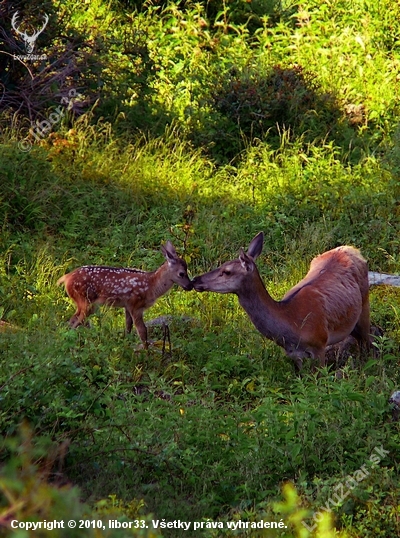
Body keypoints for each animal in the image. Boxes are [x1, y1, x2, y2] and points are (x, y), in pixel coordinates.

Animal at [57, 240, 192, 348]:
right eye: (181, 273)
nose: (190, 286)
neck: (152, 285)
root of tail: (66, 278)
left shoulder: (127, 306)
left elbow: (128, 327)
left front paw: (126, 344)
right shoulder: (136, 305)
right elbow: (142, 331)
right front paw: (146, 351)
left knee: (74, 321)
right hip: (85, 300)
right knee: (75, 322)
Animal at [192, 232, 370, 370]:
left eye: (227, 271)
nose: (195, 280)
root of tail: (352, 249)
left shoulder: (320, 343)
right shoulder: (294, 354)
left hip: (365, 304)